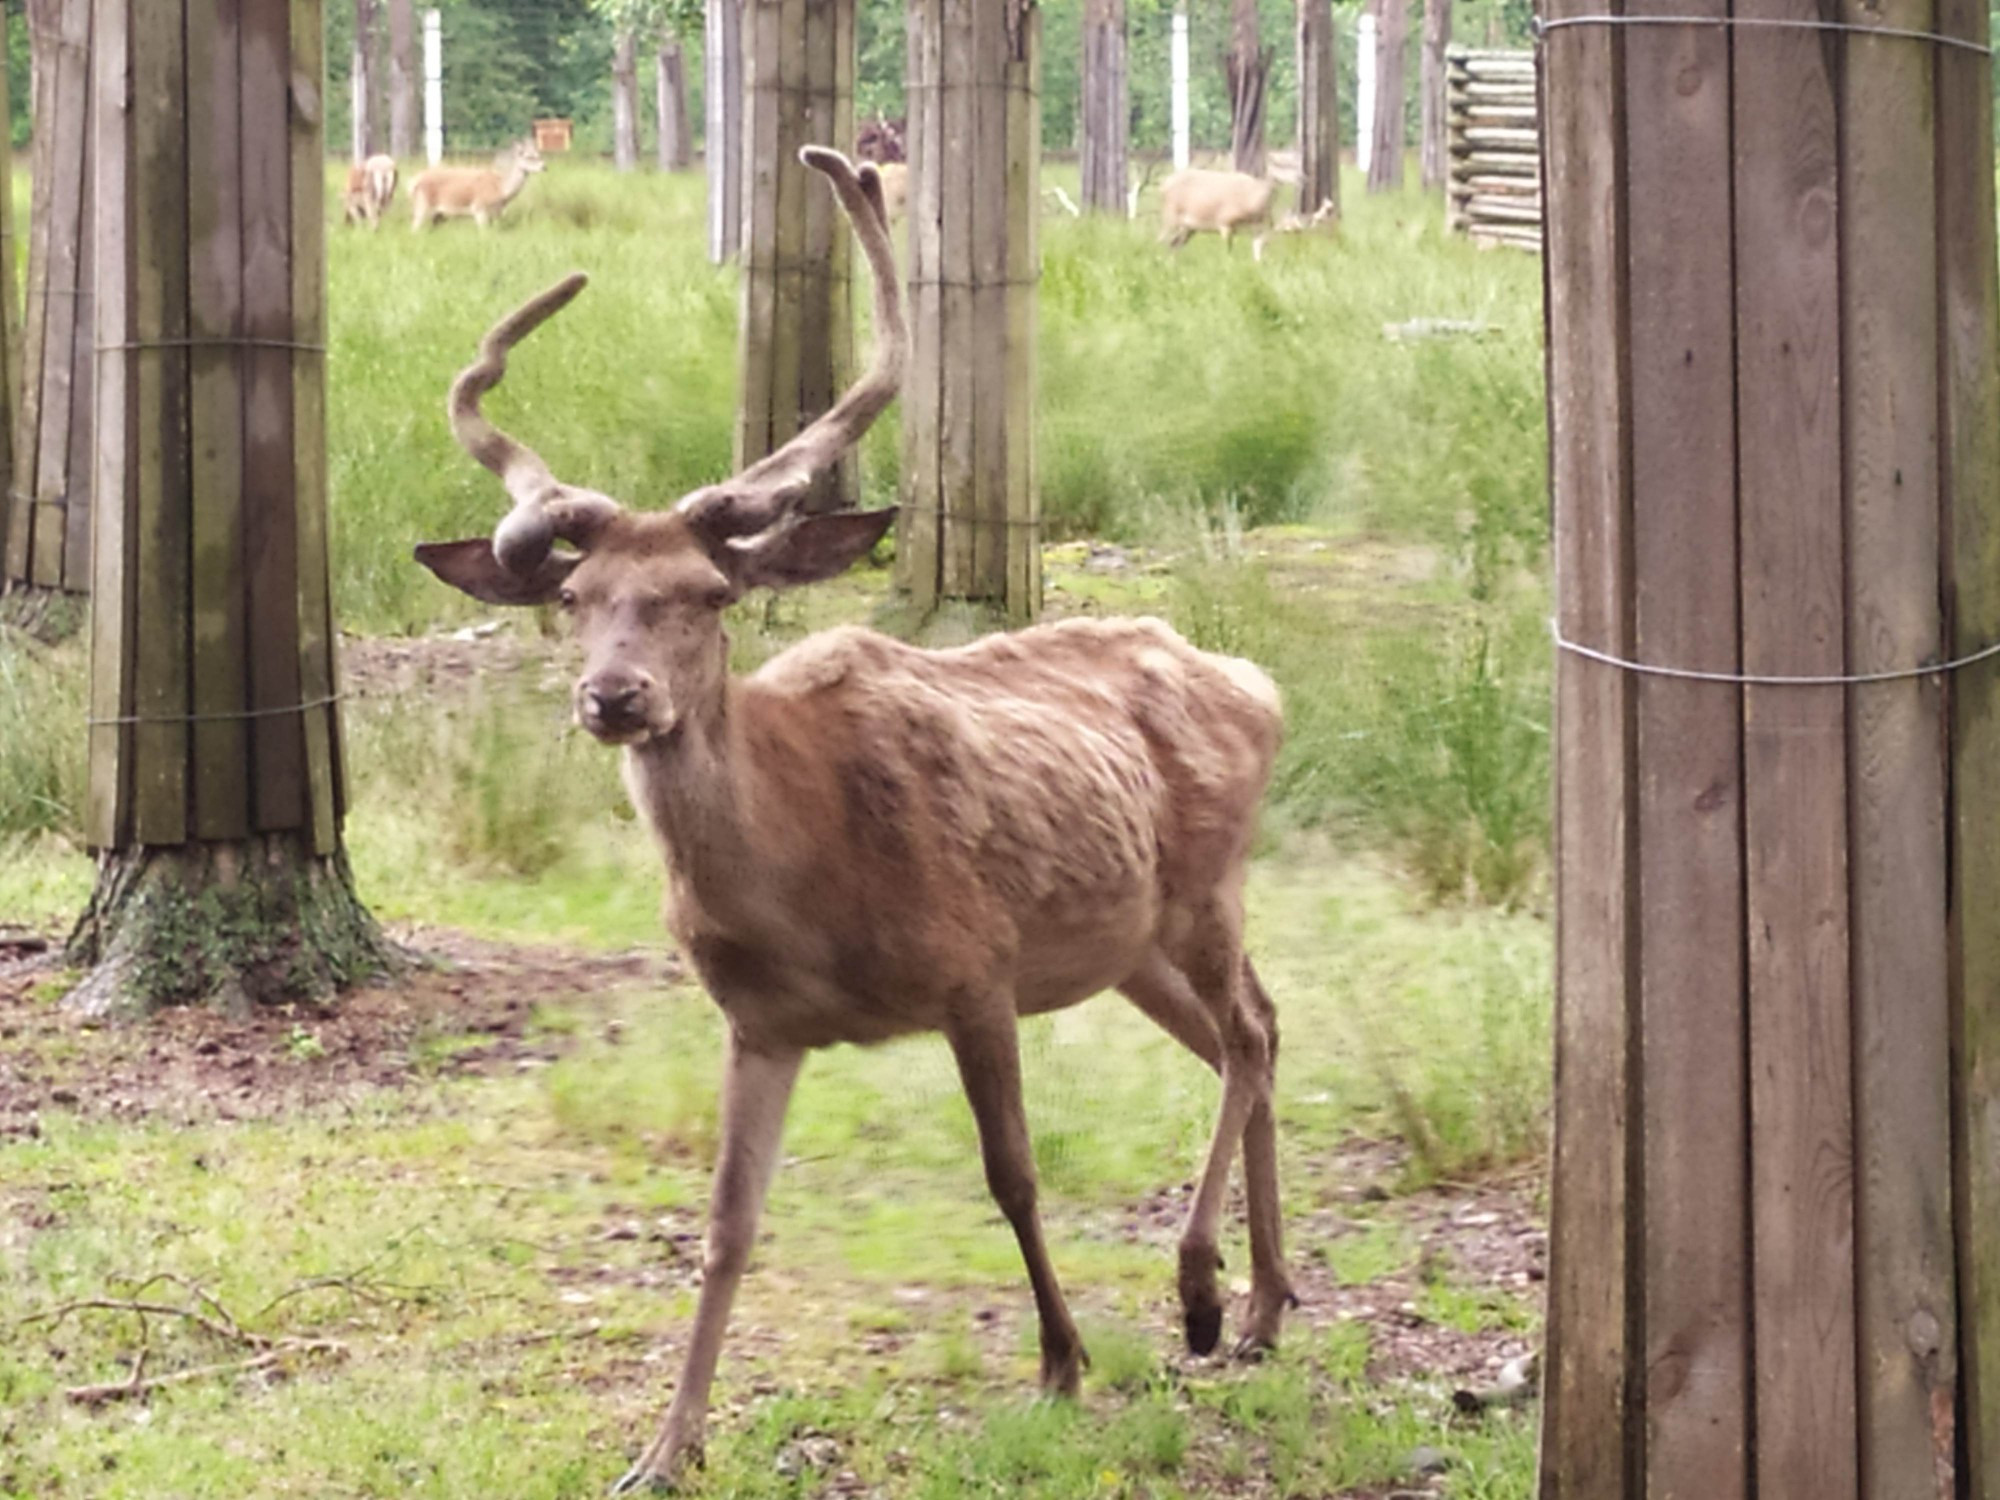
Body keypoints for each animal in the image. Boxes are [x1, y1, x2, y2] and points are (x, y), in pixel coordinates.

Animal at [408, 137, 548, 229]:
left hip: (439, 215)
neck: (501, 190)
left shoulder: (495, 214)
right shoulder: (479, 209)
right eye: (529, 156)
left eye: (539, 154)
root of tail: (413, 182)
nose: (544, 167)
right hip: (422, 206)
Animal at [412, 147, 1296, 1496]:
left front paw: (1061, 1364)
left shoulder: (975, 965)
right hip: (1126, 943)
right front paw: (666, 1444)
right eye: (574, 596)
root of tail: (1256, 682)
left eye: (707, 593)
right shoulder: (757, 1024)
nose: (614, 696)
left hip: (1203, 885)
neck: (805, 879)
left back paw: (1201, 1294)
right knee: (1251, 1033)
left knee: (1247, 1033)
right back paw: (1265, 1306)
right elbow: (725, 1224)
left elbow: (1011, 1175)